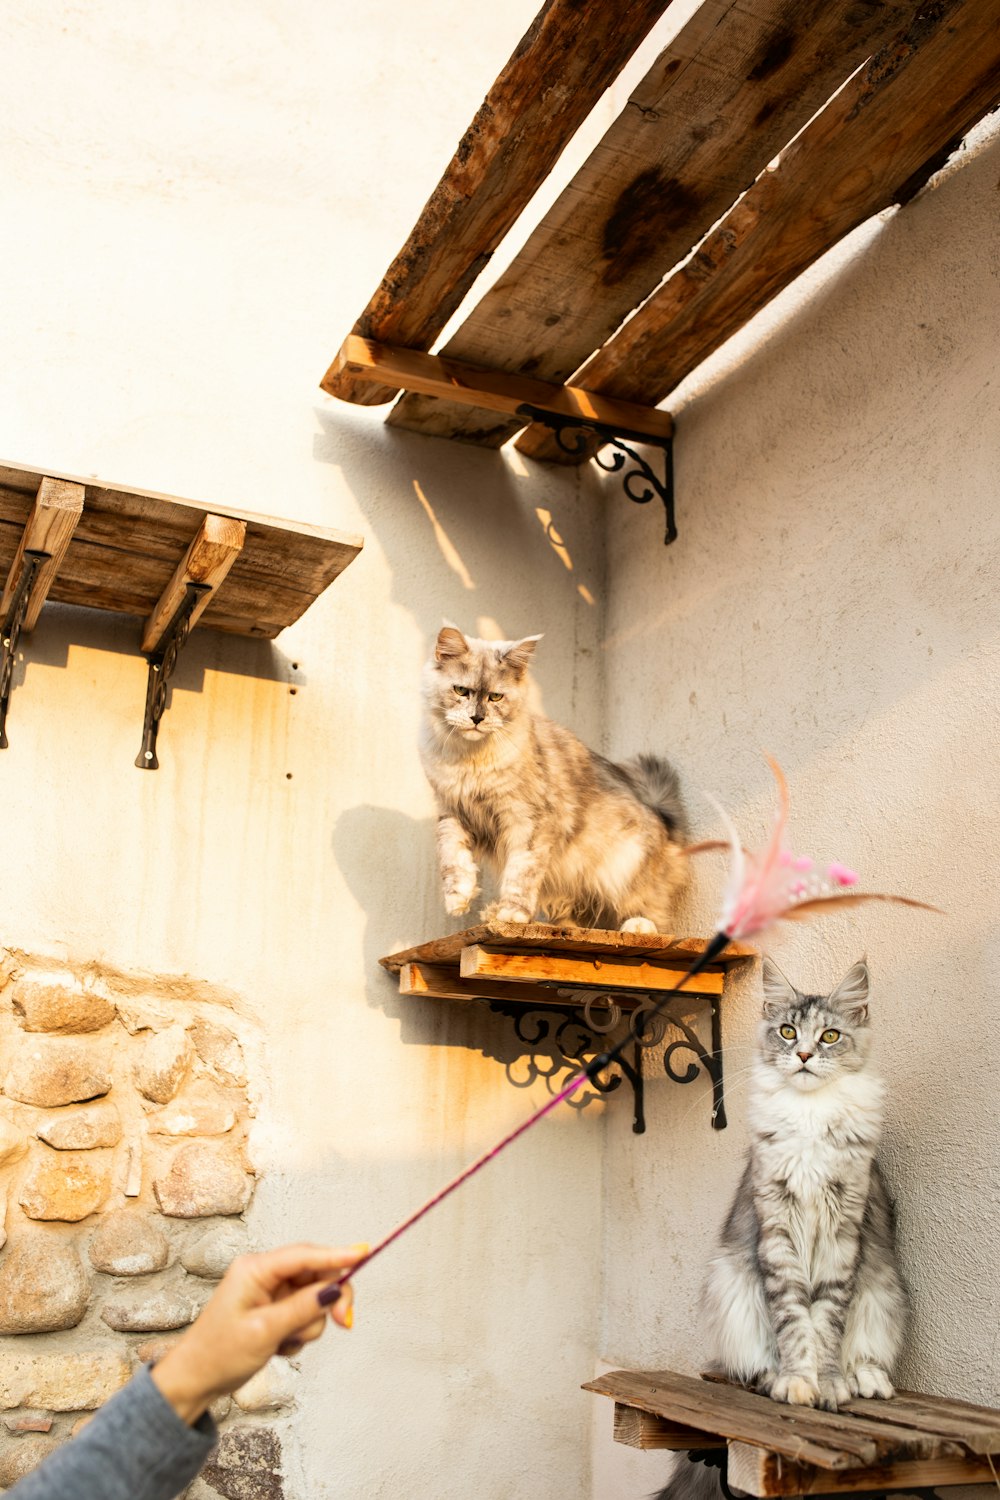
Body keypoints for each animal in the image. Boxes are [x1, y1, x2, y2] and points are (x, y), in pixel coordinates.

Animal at [419, 627, 689, 930]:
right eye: (461, 691)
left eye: (496, 698)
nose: (477, 718)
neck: (469, 760)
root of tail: (661, 816)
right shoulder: (452, 812)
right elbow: (454, 860)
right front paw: (459, 900)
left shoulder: (527, 819)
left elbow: (521, 872)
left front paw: (513, 913)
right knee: (574, 916)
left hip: (623, 868)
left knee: (651, 908)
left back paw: (638, 926)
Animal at [656, 954, 905, 1500]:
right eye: (788, 1032)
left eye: (830, 1036)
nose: (806, 1055)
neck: (809, 1115)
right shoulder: (777, 1228)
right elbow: (794, 1321)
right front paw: (797, 1381)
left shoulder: (842, 1232)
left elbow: (826, 1323)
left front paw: (828, 1383)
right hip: (730, 1285)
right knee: (751, 1362)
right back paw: (772, 1378)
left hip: (884, 1291)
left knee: (865, 1351)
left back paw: (865, 1379)